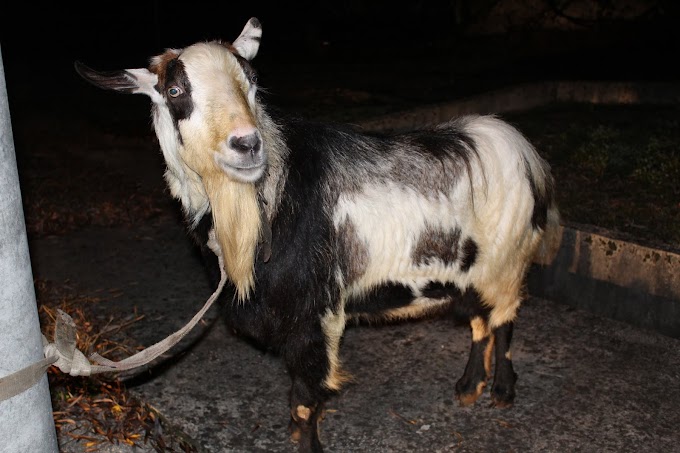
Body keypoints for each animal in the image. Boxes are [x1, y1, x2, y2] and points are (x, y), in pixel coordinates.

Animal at [75, 15, 556, 450]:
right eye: (174, 91)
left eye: (251, 81)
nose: (247, 144)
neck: (269, 202)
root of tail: (515, 146)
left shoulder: (315, 316)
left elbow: (305, 400)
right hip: (471, 270)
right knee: (479, 319)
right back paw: (469, 387)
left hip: (507, 262)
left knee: (504, 319)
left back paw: (502, 390)